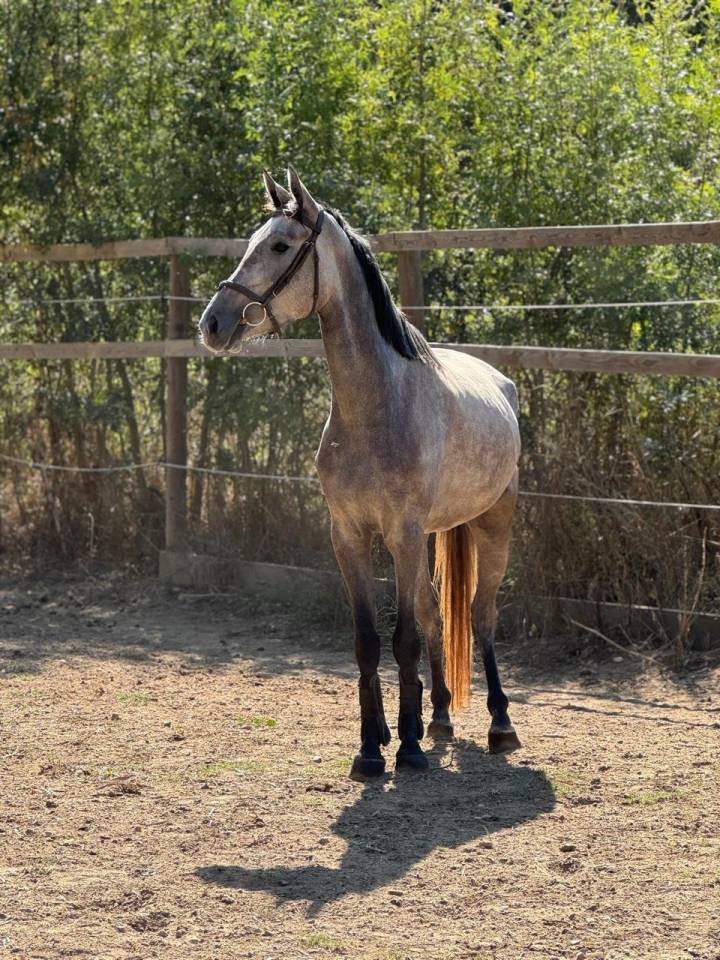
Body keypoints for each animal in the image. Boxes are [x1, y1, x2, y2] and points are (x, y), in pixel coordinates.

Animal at [199, 166, 521, 779]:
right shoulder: (348, 535)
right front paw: (374, 747)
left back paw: (499, 726)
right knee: (437, 616)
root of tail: (502, 382)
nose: (214, 323)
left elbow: (404, 639)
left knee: (483, 615)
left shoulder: (401, 534)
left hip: (492, 525)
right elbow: (371, 640)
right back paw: (438, 719)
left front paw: (408, 750)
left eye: (280, 246)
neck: (375, 407)